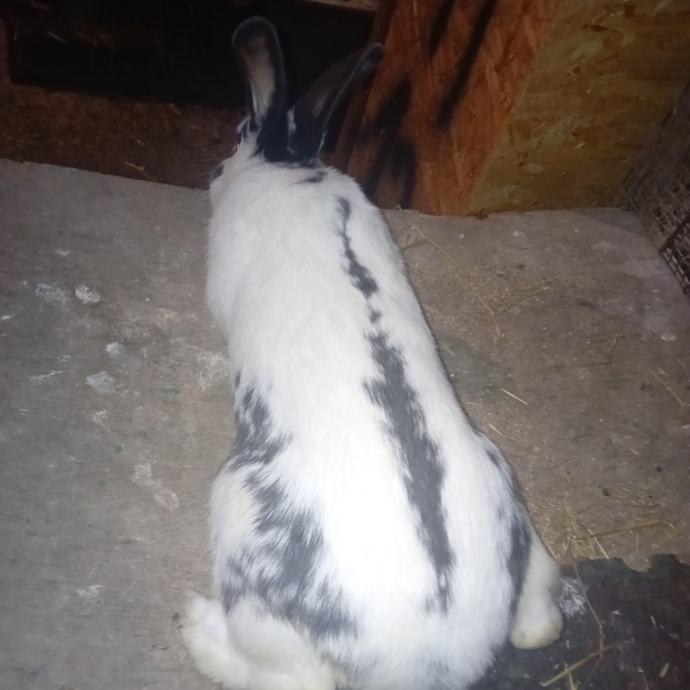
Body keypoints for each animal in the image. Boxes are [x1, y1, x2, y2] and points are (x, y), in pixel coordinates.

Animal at [182, 16, 563, 690]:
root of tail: (429, 656)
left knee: (274, 674)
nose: (214, 173)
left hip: (240, 529)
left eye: (233, 140)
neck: (291, 168)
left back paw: (196, 629)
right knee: (542, 620)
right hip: (506, 483)